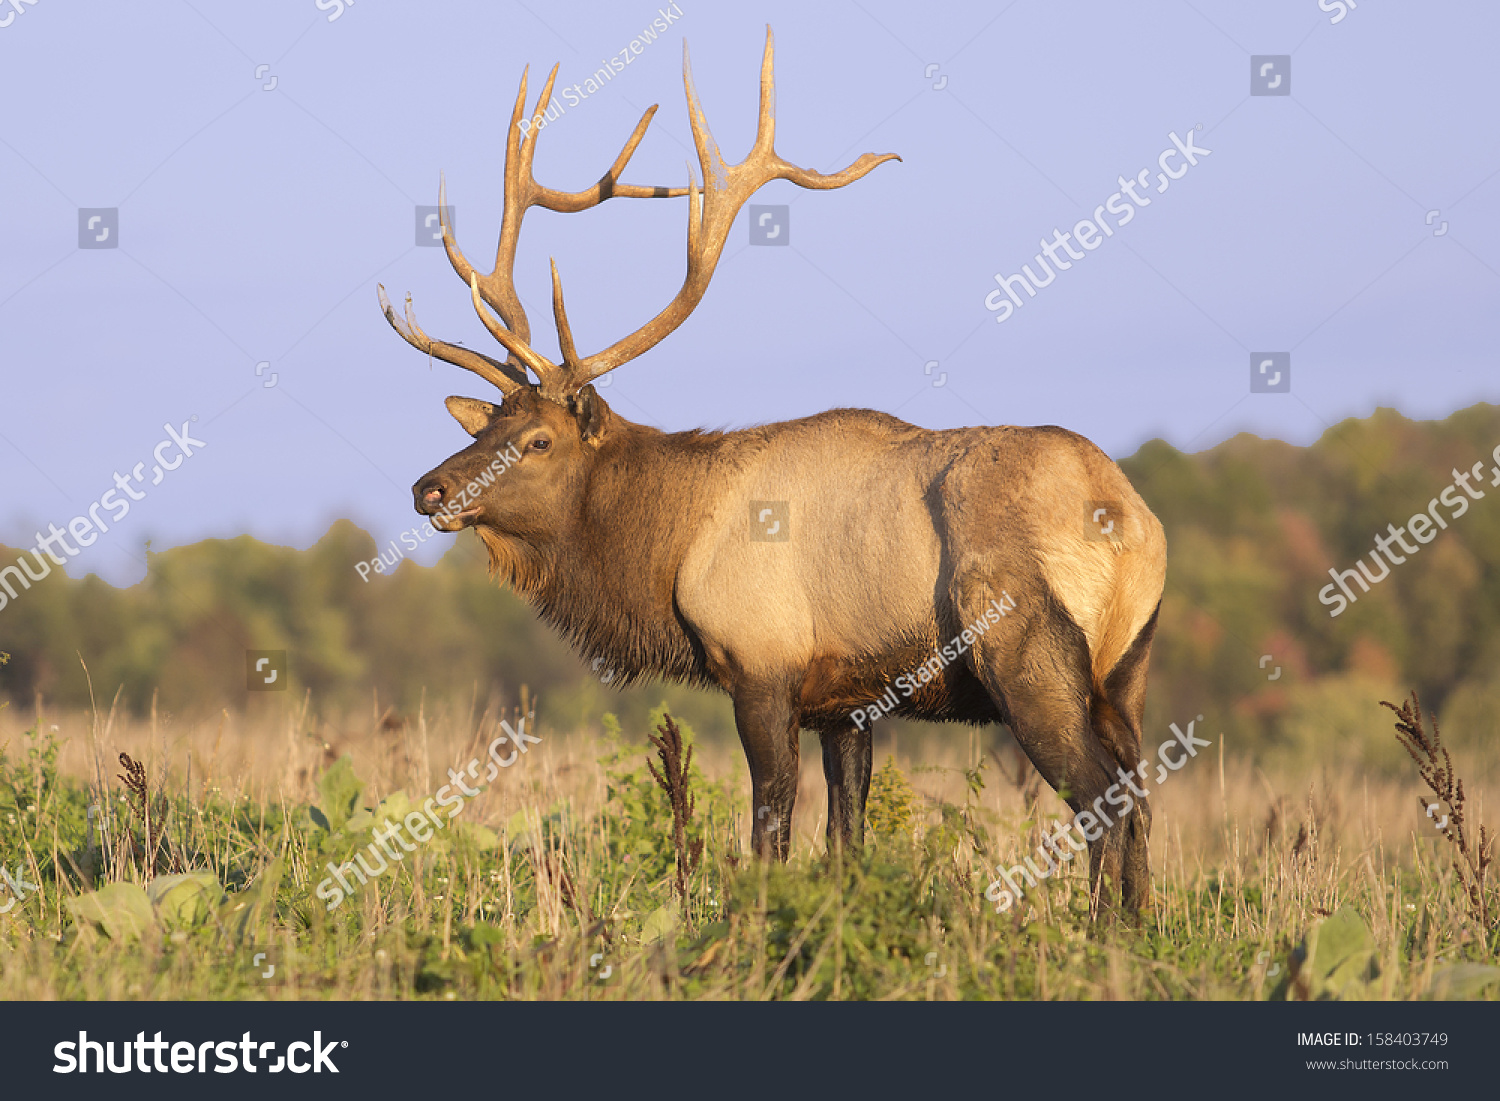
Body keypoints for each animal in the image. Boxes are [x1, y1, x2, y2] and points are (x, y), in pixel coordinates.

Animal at [378, 30, 1170, 918]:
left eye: (541, 440)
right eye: (489, 424)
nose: (429, 488)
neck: (670, 549)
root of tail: (1127, 519)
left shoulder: (762, 667)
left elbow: (770, 832)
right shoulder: (849, 701)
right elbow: (845, 838)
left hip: (1027, 652)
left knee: (1102, 799)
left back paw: (1098, 934)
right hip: (1127, 671)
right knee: (1141, 798)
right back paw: (1141, 929)